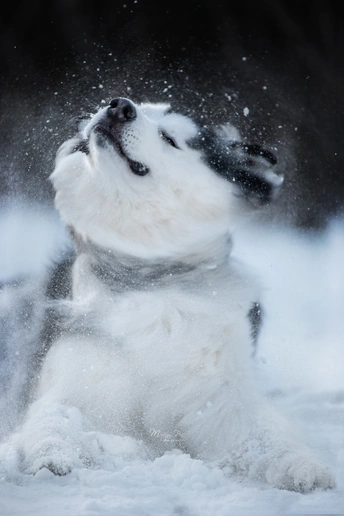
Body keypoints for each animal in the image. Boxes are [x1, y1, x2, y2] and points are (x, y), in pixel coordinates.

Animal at [9, 98, 334, 492]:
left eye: (170, 138)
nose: (119, 106)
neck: (150, 280)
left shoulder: (221, 401)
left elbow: (267, 435)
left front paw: (303, 466)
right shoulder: (73, 386)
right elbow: (52, 420)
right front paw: (52, 456)